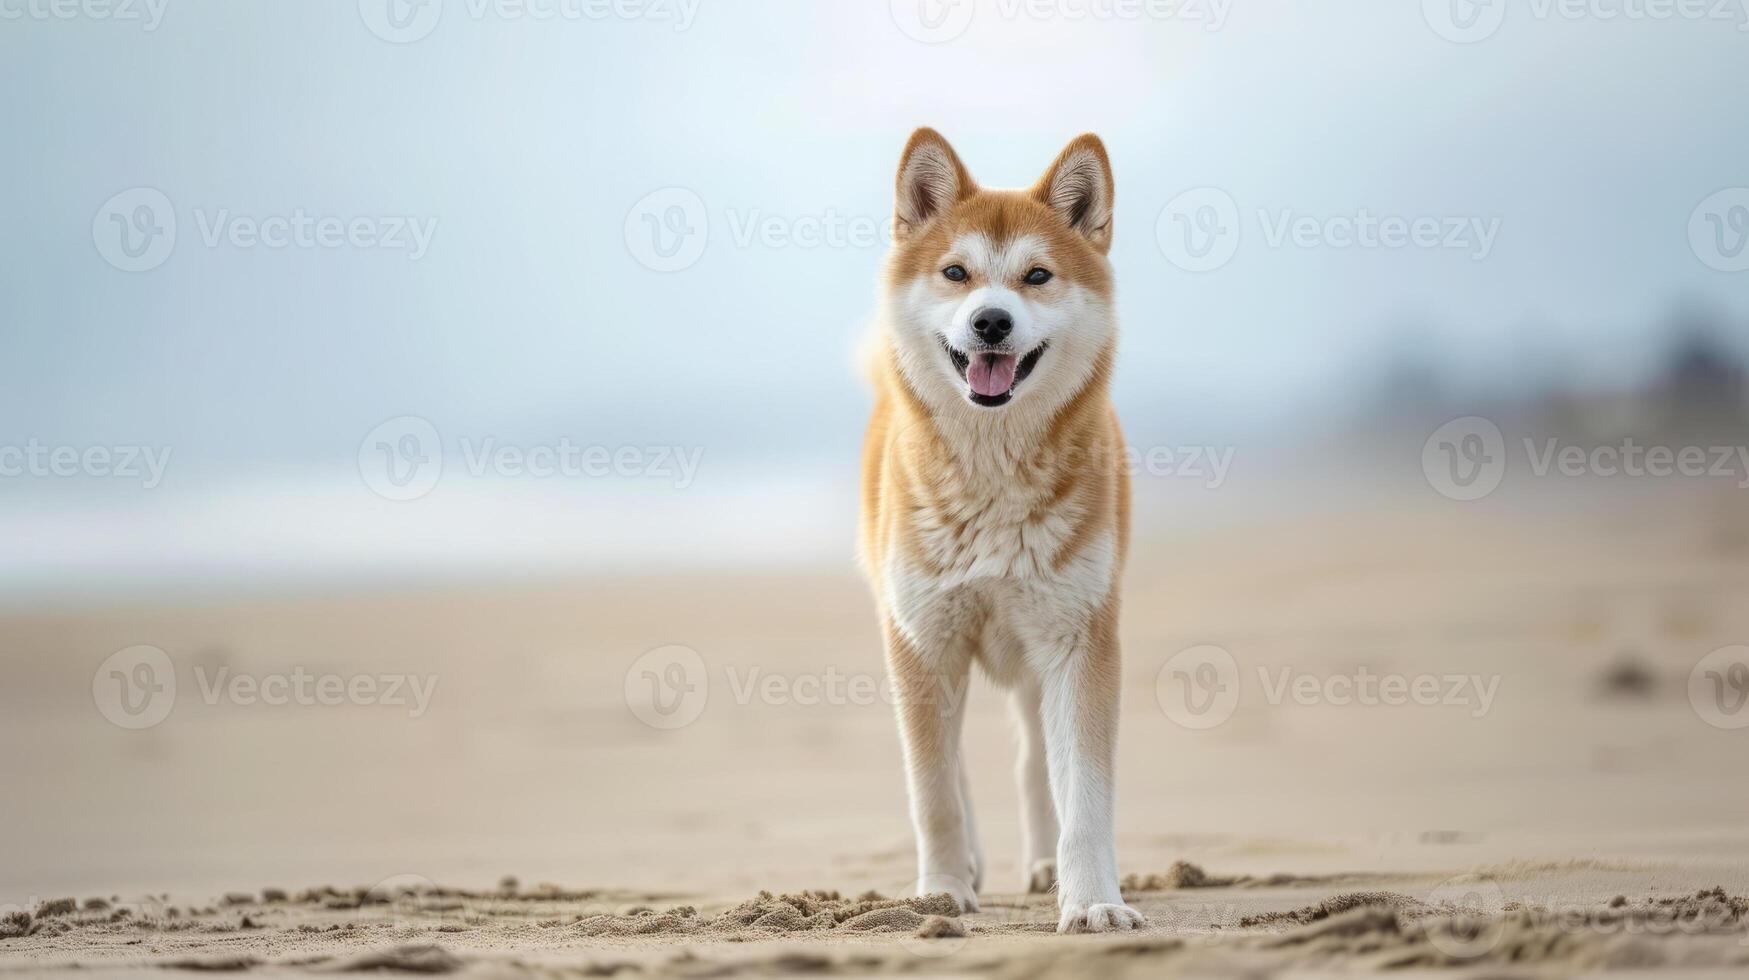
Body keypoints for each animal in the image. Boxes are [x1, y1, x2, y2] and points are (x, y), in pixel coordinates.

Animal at [857, 130, 1133, 931]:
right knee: (952, 768)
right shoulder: (922, 641)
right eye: (956, 273)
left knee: (1036, 762)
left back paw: (1043, 867)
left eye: (1036, 276)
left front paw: (1093, 900)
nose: (990, 322)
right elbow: (935, 794)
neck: (992, 478)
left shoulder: (1080, 640)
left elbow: (1084, 798)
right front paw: (942, 890)